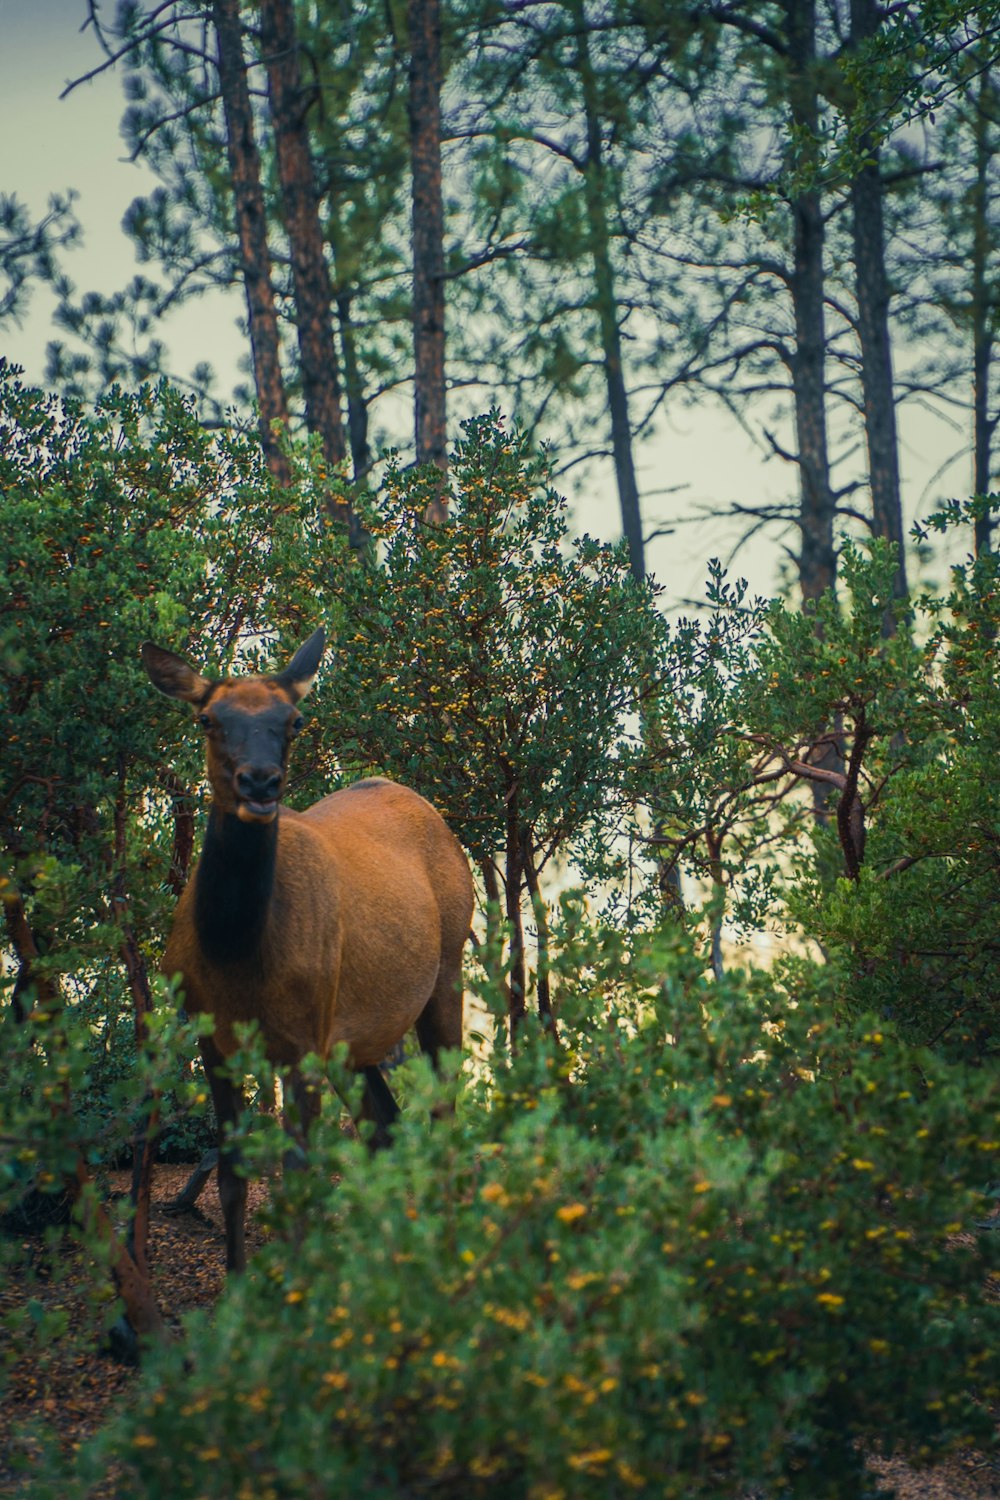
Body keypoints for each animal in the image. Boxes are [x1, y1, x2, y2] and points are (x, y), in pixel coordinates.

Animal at [137, 627, 476, 1272]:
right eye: (207, 719)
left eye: (292, 720)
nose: (260, 782)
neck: (237, 958)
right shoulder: (209, 1036)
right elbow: (234, 1177)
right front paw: (239, 1284)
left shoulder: (301, 1040)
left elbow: (297, 1177)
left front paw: (296, 1289)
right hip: (353, 1036)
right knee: (386, 1126)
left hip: (444, 972)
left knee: (446, 1112)